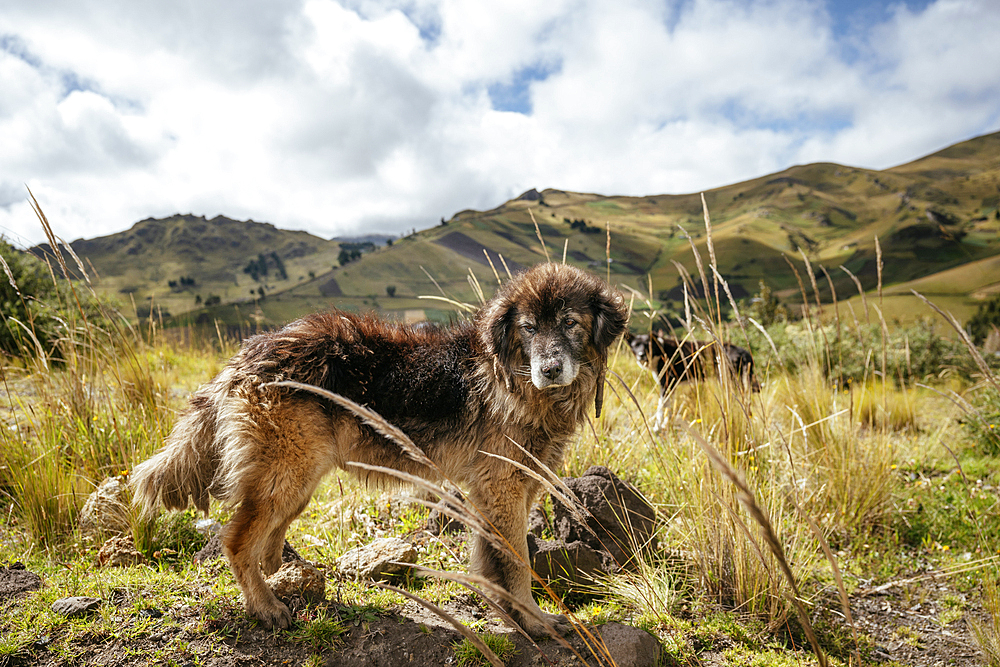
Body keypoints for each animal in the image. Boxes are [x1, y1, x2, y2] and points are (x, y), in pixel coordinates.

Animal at [127, 262, 624, 636]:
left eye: (570, 324)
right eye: (528, 328)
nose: (551, 369)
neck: (513, 379)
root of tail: (248, 355)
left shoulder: (504, 489)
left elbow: (490, 562)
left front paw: (508, 614)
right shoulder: (502, 487)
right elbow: (517, 563)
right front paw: (534, 622)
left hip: (298, 479)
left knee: (267, 540)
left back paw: (286, 580)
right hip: (288, 474)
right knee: (237, 541)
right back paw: (265, 607)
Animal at [624, 332, 756, 430]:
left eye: (648, 345)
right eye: (636, 345)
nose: (641, 354)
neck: (661, 351)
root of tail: (742, 351)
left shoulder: (667, 384)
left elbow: (661, 408)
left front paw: (658, 426)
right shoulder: (671, 386)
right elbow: (668, 407)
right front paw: (667, 423)